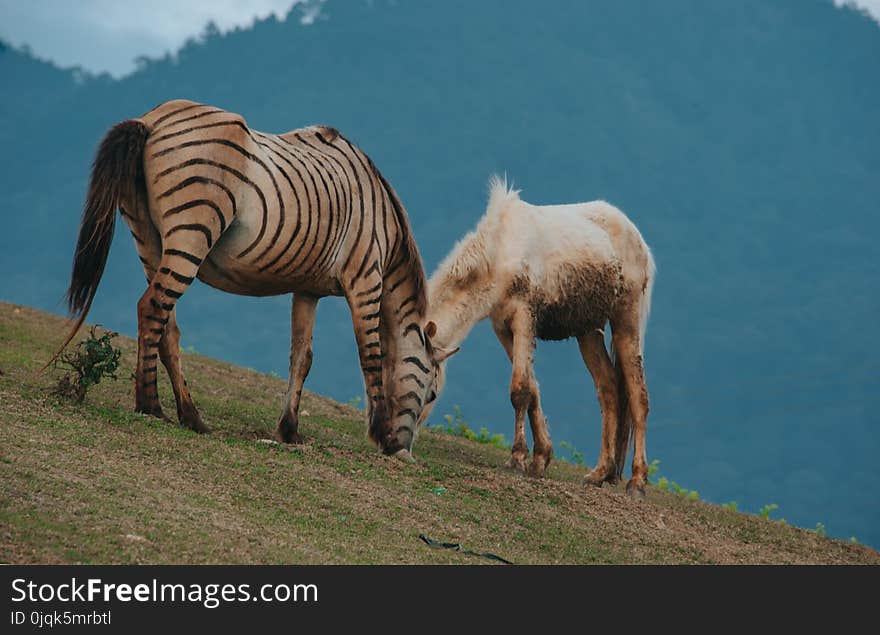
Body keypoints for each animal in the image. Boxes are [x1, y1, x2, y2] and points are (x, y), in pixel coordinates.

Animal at [54, 99, 454, 460]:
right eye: (432, 393)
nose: (404, 453)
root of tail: (152, 120)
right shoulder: (365, 279)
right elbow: (372, 357)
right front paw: (379, 433)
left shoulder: (307, 290)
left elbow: (302, 357)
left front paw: (289, 430)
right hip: (192, 233)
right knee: (152, 308)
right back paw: (150, 405)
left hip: (149, 240)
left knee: (166, 325)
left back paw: (191, 416)